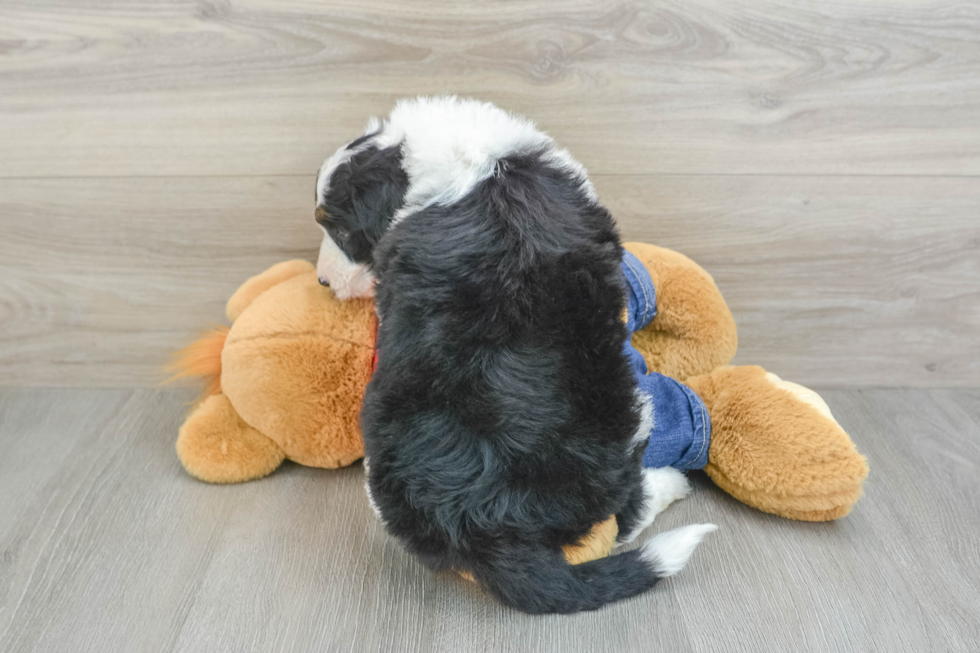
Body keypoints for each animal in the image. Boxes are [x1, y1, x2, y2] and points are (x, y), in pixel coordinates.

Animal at [318, 97, 716, 612]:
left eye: (340, 231)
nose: (323, 283)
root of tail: (481, 527)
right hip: (629, 414)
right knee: (626, 513)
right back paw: (671, 482)